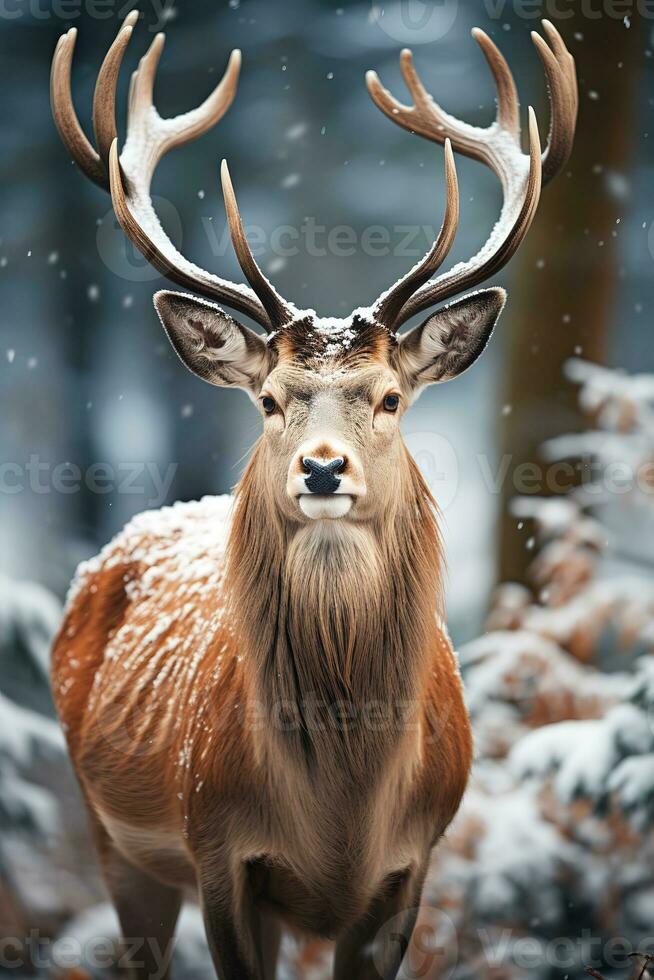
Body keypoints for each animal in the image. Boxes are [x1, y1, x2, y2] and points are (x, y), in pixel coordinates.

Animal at [48, 13, 576, 980]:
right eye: (267, 399)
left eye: (391, 397)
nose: (323, 469)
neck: (341, 815)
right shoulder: (220, 850)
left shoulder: (411, 867)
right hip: (113, 839)